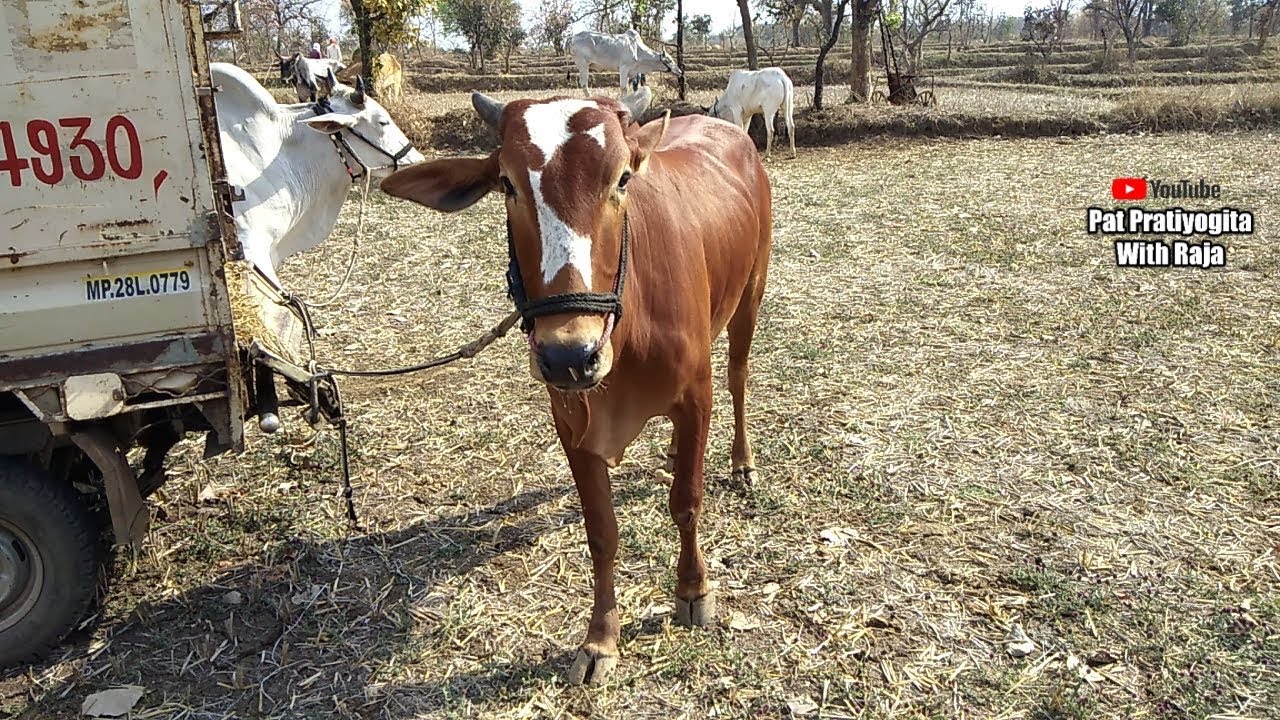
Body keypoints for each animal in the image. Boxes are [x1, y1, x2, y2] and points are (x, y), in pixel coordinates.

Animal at [378, 87, 773, 681]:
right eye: (508, 184)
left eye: (623, 178)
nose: (570, 352)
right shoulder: (571, 422)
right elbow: (601, 531)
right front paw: (601, 639)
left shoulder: (694, 396)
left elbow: (686, 501)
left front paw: (693, 590)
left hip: (751, 292)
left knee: (740, 377)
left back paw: (741, 462)